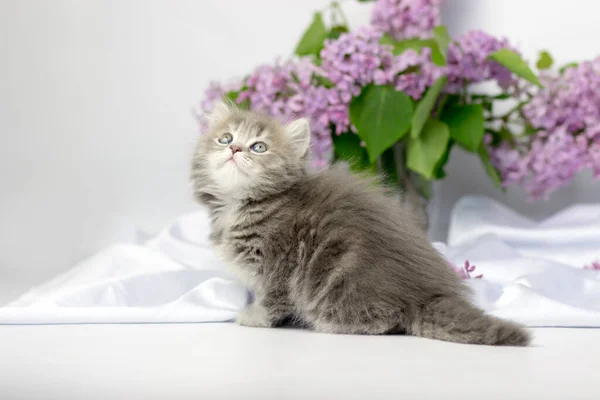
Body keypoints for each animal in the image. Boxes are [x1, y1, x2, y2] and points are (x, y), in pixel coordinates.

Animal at [191, 101, 528, 346]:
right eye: (225, 138)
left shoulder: (278, 265)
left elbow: (272, 299)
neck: (242, 203)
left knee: (386, 321)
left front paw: (255, 317)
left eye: (259, 146)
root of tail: (425, 295)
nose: (234, 149)